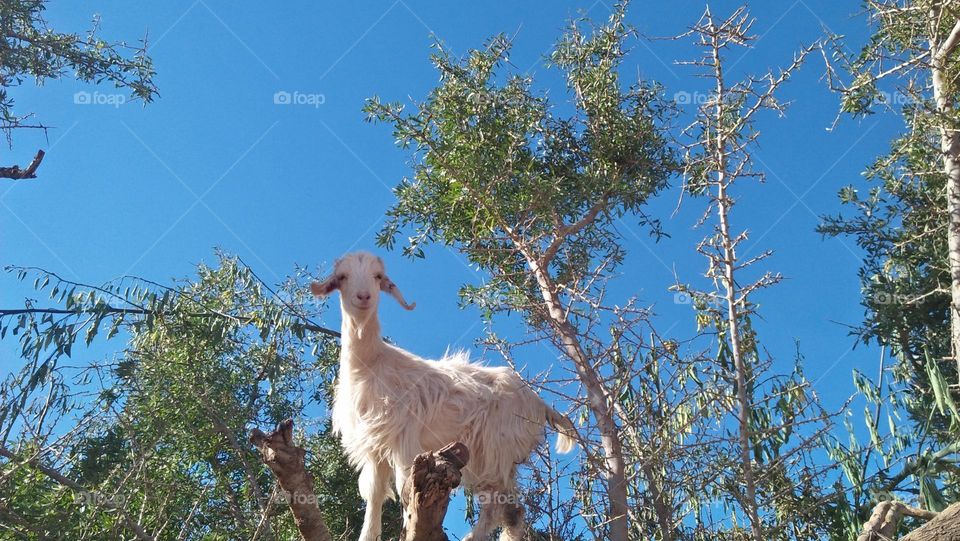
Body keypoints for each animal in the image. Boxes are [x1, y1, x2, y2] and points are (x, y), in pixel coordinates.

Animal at [312, 251, 576, 536]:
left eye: (378, 276)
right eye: (342, 277)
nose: (363, 297)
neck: (370, 363)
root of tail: (539, 403)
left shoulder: (404, 440)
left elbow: (405, 493)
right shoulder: (373, 445)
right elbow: (374, 496)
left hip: (494, 453)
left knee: (498, 508)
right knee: (513, 513)